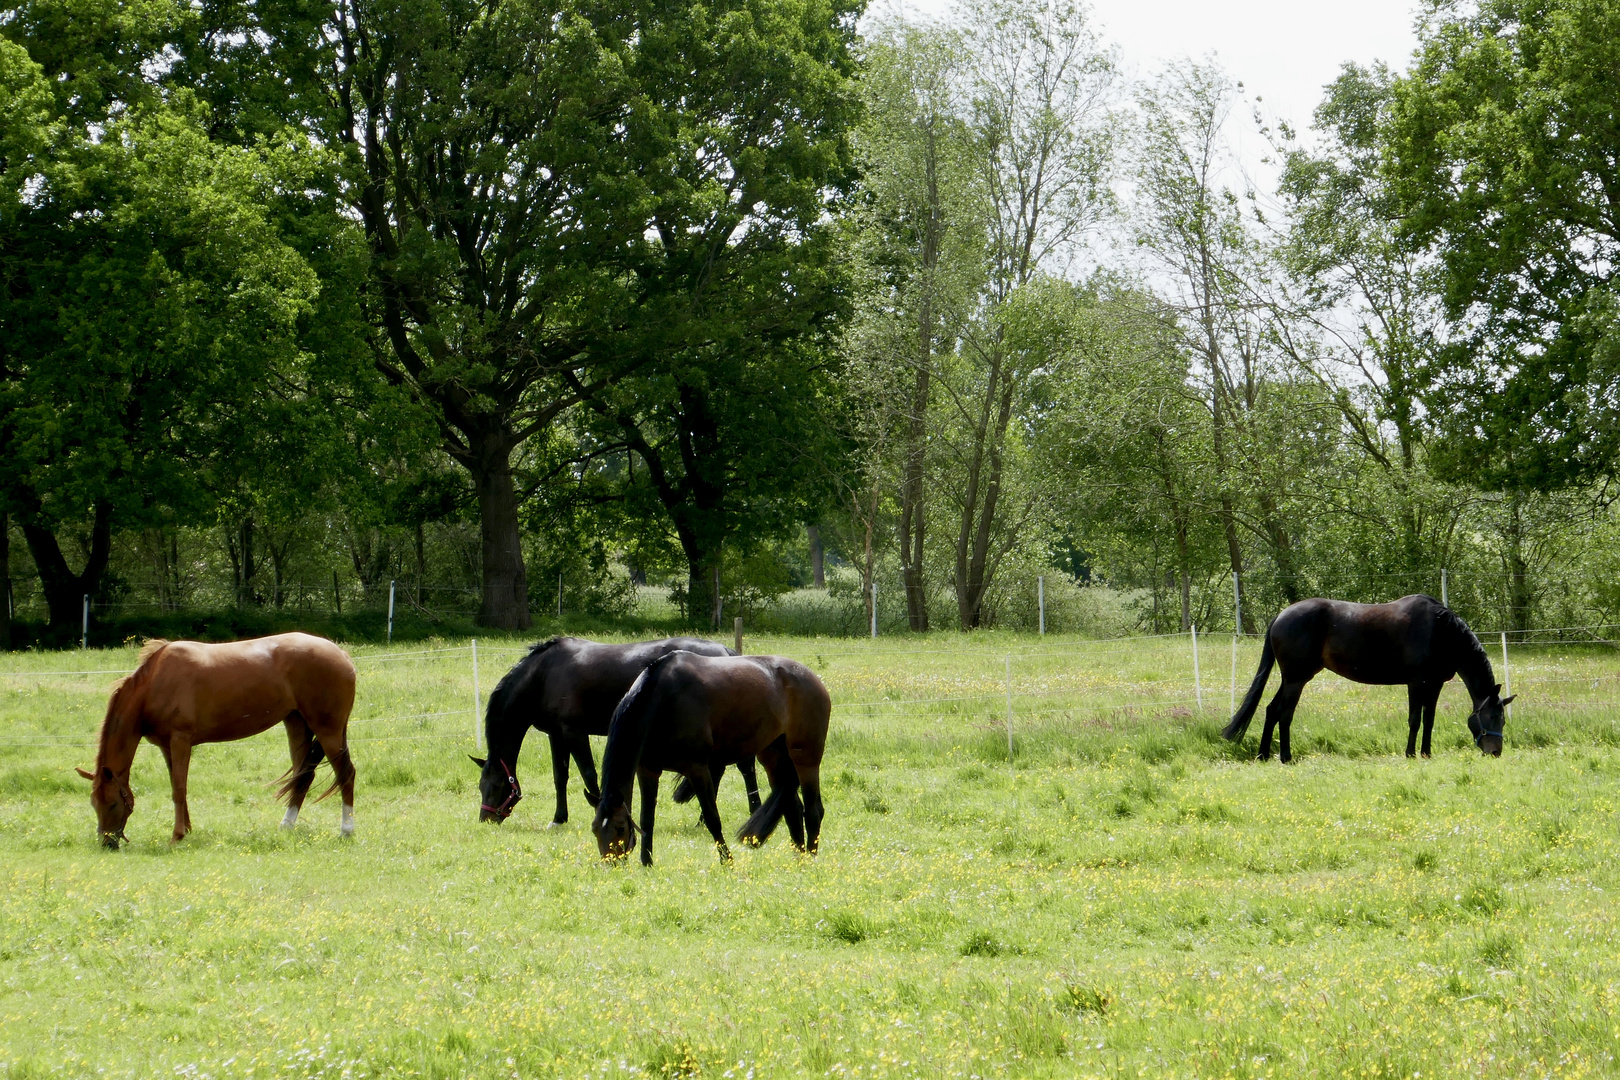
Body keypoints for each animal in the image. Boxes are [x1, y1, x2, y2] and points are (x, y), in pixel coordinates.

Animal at [77, 634, 356, 854]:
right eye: (93, 803)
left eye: (113, 803)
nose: (107, 843)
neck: (156, 682)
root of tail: (341, 655)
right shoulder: (167, 747)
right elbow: (178, 788)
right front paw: (187, 830)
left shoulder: (180, 740)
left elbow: (178, 789)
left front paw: (177, 836)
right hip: (296, 723)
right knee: (303, 776)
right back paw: (286, 826)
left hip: (328, 730)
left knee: (346, 774)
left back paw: (346, 830)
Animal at [469, 637, 758, 822]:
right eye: (480, 787)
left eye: (495, 786)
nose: (486, 819)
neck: (545, 674)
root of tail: (727, 652)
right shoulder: (556, 734)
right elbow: (560, 776)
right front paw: (559, 818)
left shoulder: (575, 732)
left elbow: (588, 774)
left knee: (745, 767)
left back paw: (752, 812)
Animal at [589, 650, 829, 867]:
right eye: (595, 829)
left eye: (620, 827)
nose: (611, 864)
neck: (664, 700)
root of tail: (812, 679)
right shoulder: (648, 771)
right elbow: (647, 820)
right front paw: (647, 863)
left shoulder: (697, 768)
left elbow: (712, 817)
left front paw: (727, 861)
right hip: (773, 757)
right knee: (793, 809)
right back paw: (798, 859)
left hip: (806, 758)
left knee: (813, 810)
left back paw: (811, 858)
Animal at [1224, 595, 1516, 764]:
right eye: (1492, 716)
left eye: (1503, 719)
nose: (1495, 752)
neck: (1441, 632)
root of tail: (1281, 616)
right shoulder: (1416, 683)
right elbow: (1415, 720)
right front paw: (1410, 754)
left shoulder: (1434, 685)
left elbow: (1429, 721)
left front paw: (1426, 753)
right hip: (1297, 679)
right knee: (1284, 715)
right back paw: (1286, 757)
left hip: (1291, 679)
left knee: (1271, 710)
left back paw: (1263, 755)